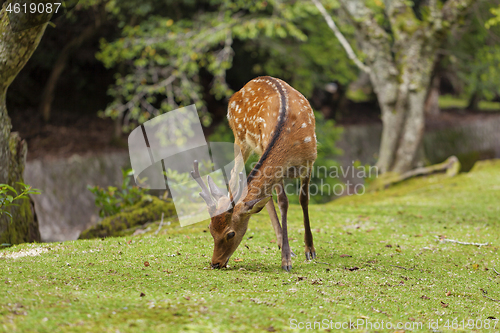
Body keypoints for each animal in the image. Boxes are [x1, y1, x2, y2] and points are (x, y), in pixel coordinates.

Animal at [191, 76, 316, 272]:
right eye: (210, 228)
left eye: (230, 233)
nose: (215, 263)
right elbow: (283, 201)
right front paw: (286, 258)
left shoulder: (310, 161)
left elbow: (302, 200)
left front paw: (308, 250)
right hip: (240, 138)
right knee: (235, 175)